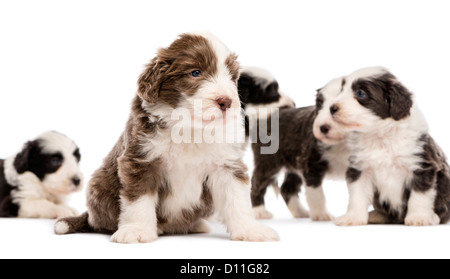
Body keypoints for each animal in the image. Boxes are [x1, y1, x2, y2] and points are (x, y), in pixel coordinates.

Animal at [54, 32, 280, 243]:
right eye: (195, 73)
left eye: (232, 77)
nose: (226, 102)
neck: (190, 127)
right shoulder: (141, 160)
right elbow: (139, 200)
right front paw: (137, 230)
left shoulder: (226, 164)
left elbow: (237, 199)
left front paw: (251, 230)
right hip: (99, 187)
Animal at [314, 68, 450, 228]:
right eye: (342, 90)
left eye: (361, 93)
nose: (332, 108)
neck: (380, 136)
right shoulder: (360, 169)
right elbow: (357, 195)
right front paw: (353, 217)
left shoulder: (422, 167)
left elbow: (419, 196)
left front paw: (419, 217)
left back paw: (433, 217)